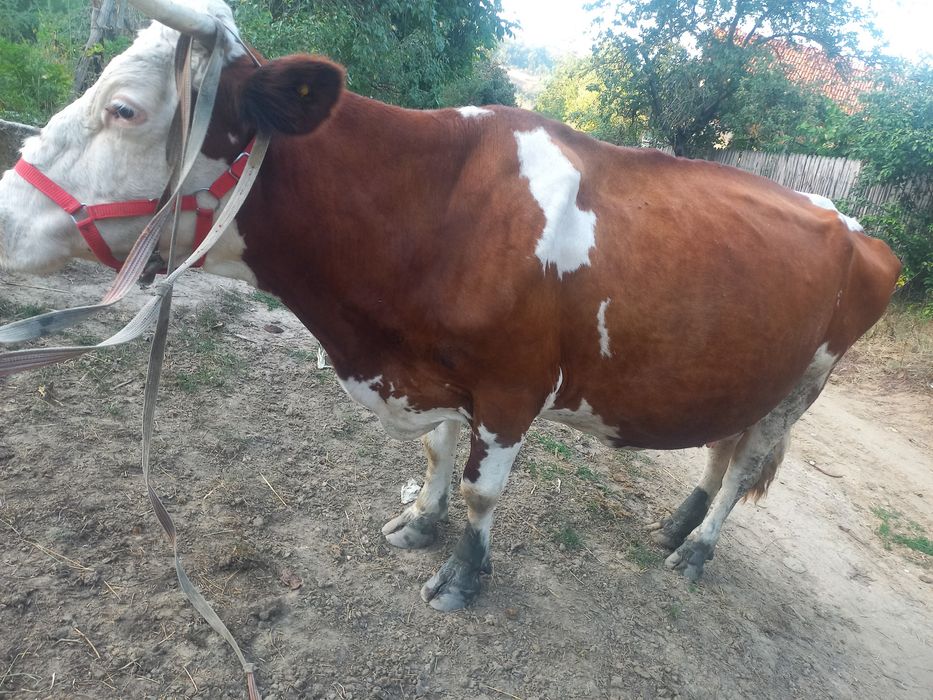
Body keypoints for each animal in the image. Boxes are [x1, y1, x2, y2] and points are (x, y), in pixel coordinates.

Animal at [0, 0, 900, 612]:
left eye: (124, 109)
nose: (3, 216)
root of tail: (855, 225)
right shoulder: (427, 369)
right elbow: (436, 455)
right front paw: (418, 522)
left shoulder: (511, 388)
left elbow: (482, 493)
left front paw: (463, 574)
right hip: (751, 367)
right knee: (720, 451)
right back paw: (677, 525)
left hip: (804, 384)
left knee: (744, 465)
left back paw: (695, 552)